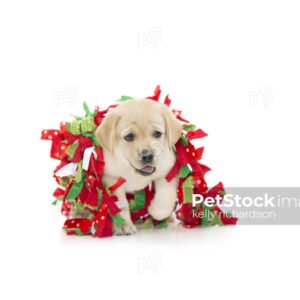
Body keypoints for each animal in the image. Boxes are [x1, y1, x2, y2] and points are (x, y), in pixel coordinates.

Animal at [95, 98, 182, 234]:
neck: (134, 172)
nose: (148, 156)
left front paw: (155, 211)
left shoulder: (168, 171)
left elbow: (166, 197)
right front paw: (124, 224)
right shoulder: (112, 179)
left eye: (157, 134)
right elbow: (120, 205)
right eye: (129, 136)